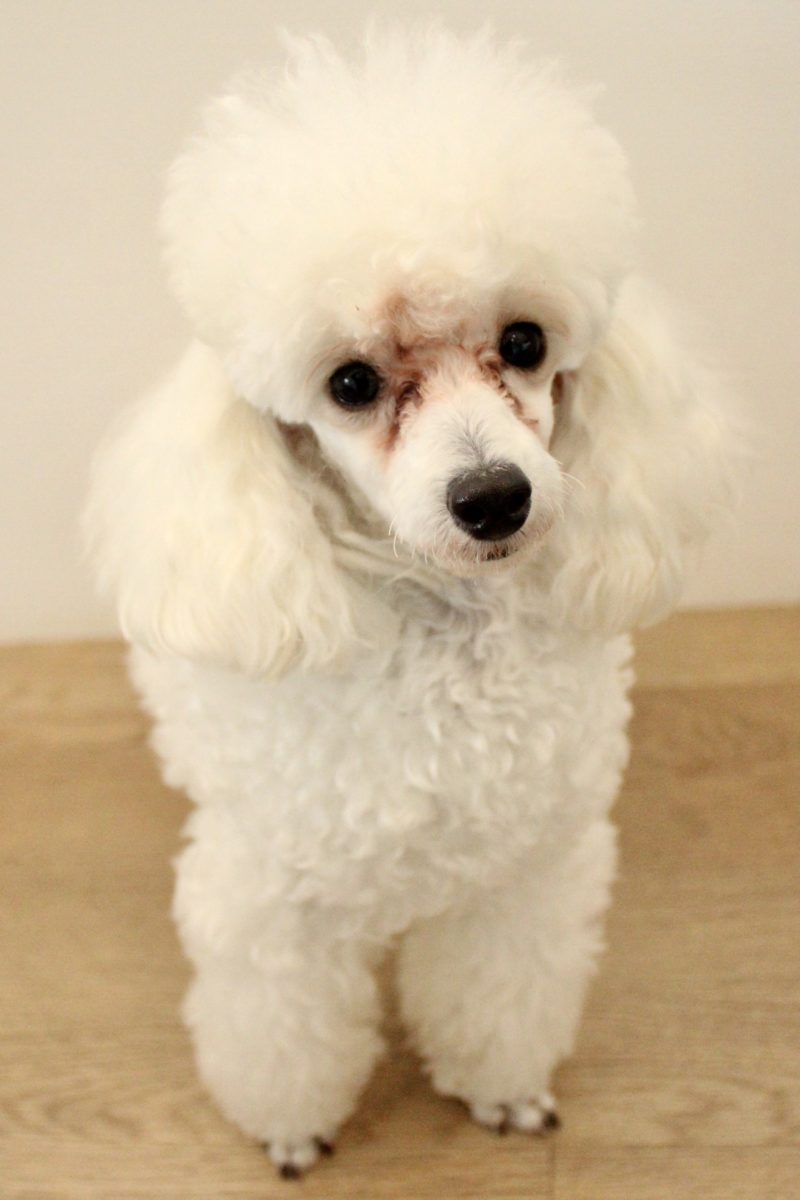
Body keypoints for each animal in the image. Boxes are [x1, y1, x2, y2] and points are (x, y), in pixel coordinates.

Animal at [86, 27, 733, 1177]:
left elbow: (500, 991)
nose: (493, 497)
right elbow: (281, 1030)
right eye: (349, 384)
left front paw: (500, 1090)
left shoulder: (520, 870)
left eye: (524, 343)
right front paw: (291, 1125)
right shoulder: (272, 906)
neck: (443, 637)